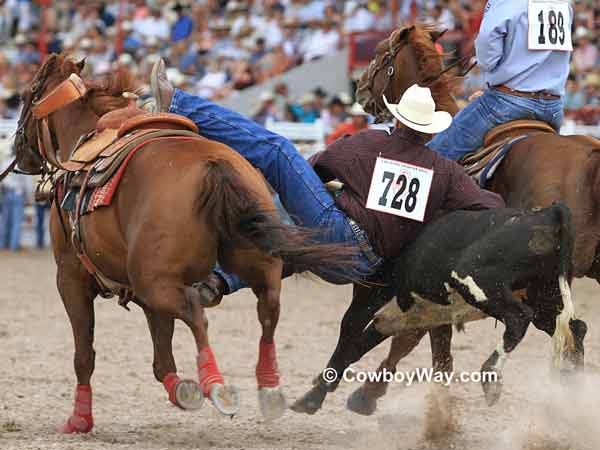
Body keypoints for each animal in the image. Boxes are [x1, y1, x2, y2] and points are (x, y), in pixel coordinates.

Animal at [12, 54, 360, 430]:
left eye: (26, 95)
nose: (18, 149)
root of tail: (214, 165)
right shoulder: (139, 294)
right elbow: (161, 357)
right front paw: (181, 390)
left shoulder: (71, 278)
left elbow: (84, 355)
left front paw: (79, 419)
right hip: (251, 264)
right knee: (267, 309)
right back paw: (268, 390)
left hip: (155, 281)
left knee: (196, 312)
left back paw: (217, 387)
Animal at [342, 25, 600, 414]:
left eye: (380, 52)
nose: (359, 89)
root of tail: (589, 157)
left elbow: (419, 339)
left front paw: (369, 393)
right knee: (573, 330)